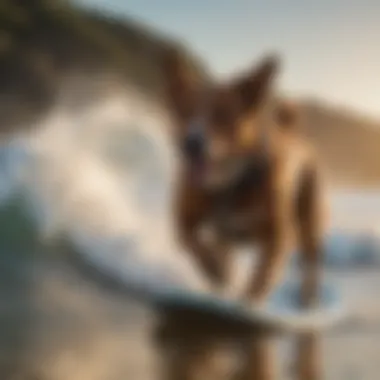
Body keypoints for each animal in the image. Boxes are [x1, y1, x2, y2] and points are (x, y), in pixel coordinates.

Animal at [160, 48, 326, 308]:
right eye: (184, 111)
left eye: (223, 115)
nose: (191, 143)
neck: (228, 184)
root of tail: (294, 135)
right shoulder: (184, 215)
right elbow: (191, 240)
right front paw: (215, 270)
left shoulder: (278, 236)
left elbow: (261, 277)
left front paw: (245, 303)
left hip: (310, 221)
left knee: (311, 261)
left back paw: (308, 296)